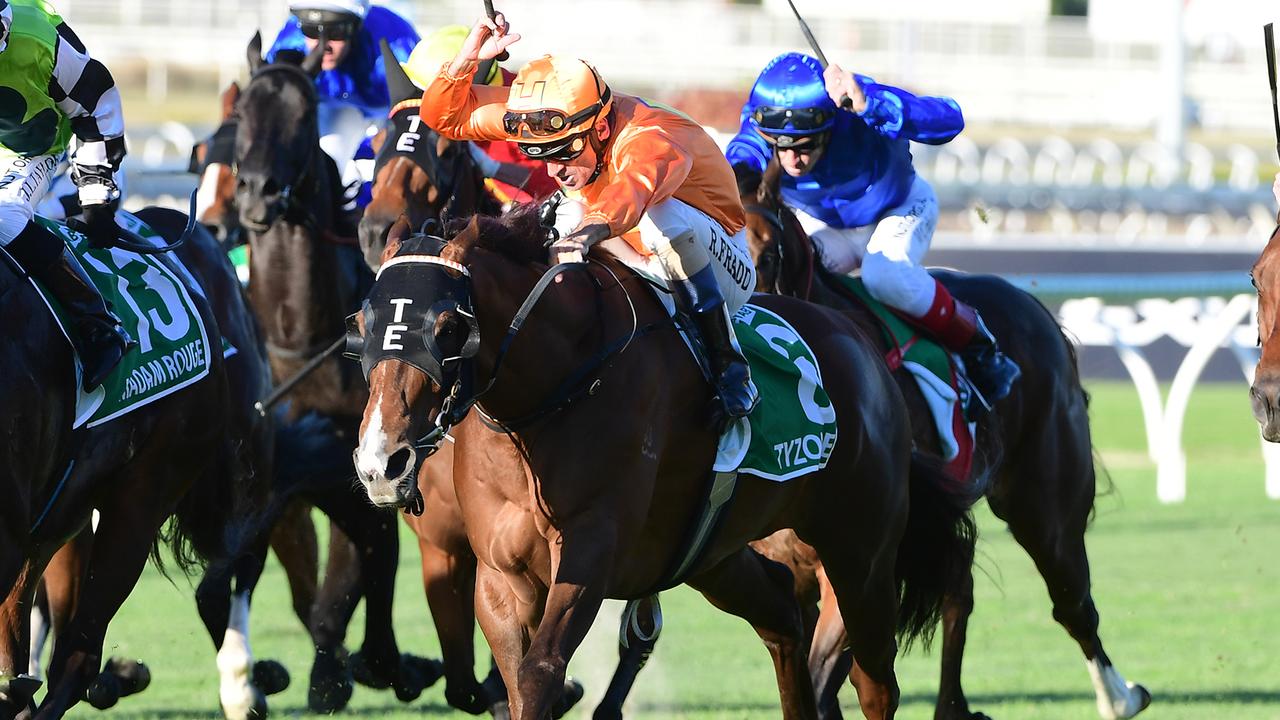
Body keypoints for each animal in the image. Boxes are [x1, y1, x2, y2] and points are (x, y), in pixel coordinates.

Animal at [235, 33, 440, 712]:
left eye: (304, 117)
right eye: (242, 112)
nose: (257, 193)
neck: (301, 334)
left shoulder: (369, 461)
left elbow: (362, 563)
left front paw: (366, 665)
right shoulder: (285, 474)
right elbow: (312, 588)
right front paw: (333, 668)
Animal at [345, 208, 972, 717]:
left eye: (449, 327)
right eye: (360, 325)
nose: (382, 461)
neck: (552, 395)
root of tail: (865, 348)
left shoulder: (591, 552)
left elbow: (541, 674)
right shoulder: (501, 576)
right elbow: (519, 681)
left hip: (861, 557)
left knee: (875, 685)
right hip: (712, 555)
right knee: (782, 619)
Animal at [737, 161, 1157, 717]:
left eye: (766, 255)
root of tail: (1036, 309)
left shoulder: (864, 566)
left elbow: (826, 676)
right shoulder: (788, 573)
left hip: (1045, 503)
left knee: (1071, 600)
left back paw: (1119, 697)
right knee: (962, 585)